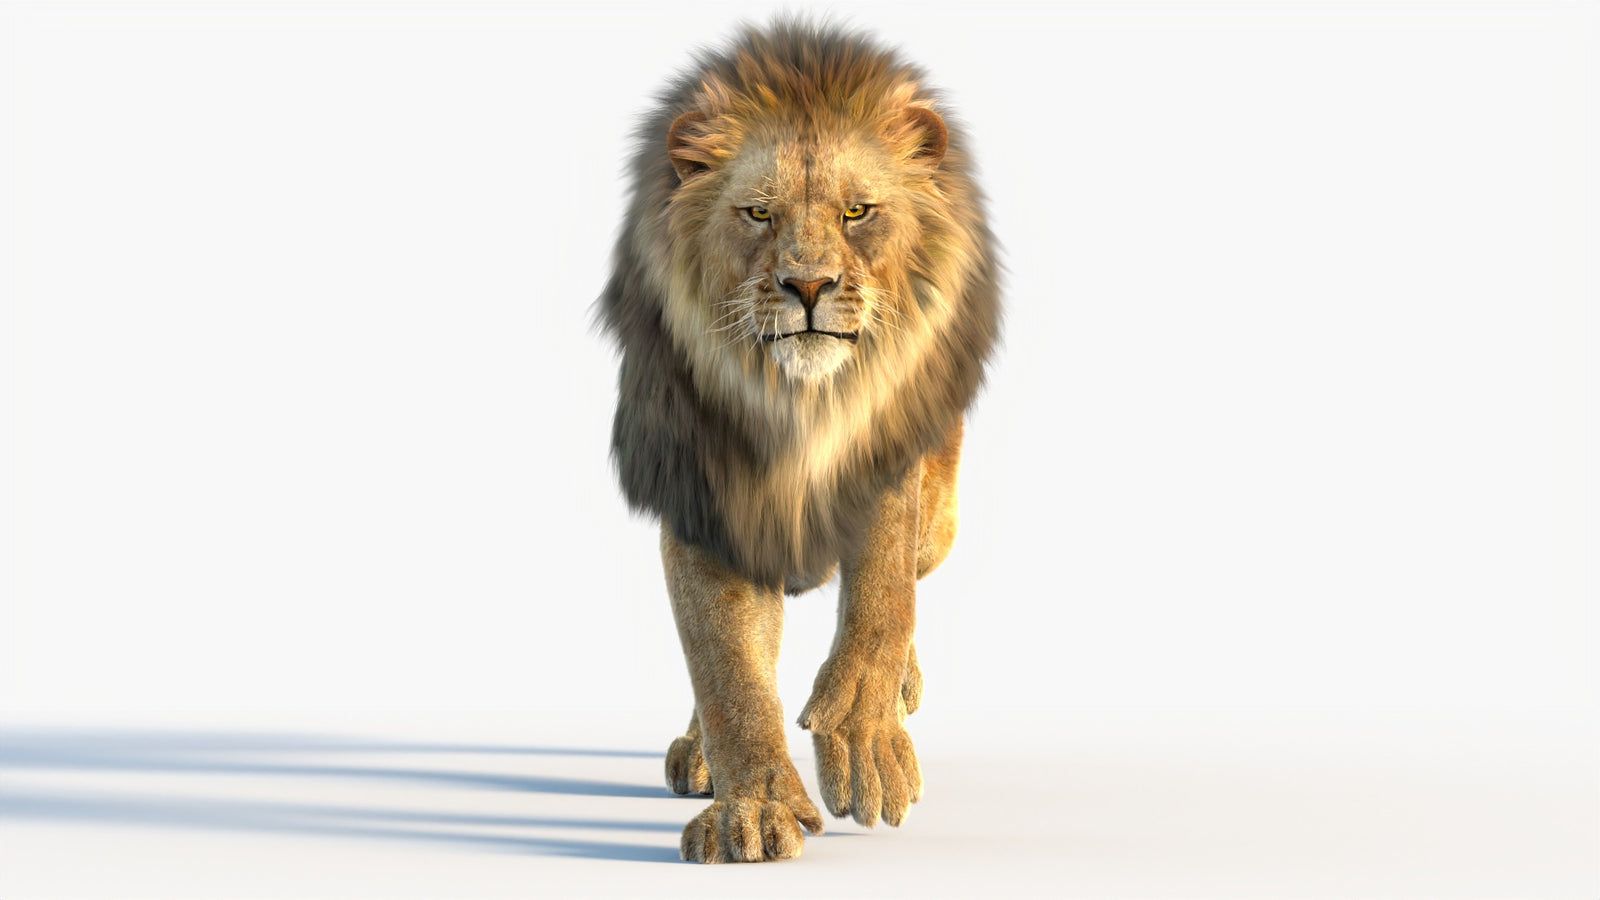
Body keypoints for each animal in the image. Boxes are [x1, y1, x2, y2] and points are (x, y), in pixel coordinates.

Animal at [598, 20, 1000, 863]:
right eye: (757, 214)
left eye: (857, 212)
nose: (807, 286)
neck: (796, 405)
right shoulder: (703, 495)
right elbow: (727, 664)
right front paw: (751, 812)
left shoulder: (887, 461)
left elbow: (882, 597)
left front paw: (866, 739)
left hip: (943, 514)